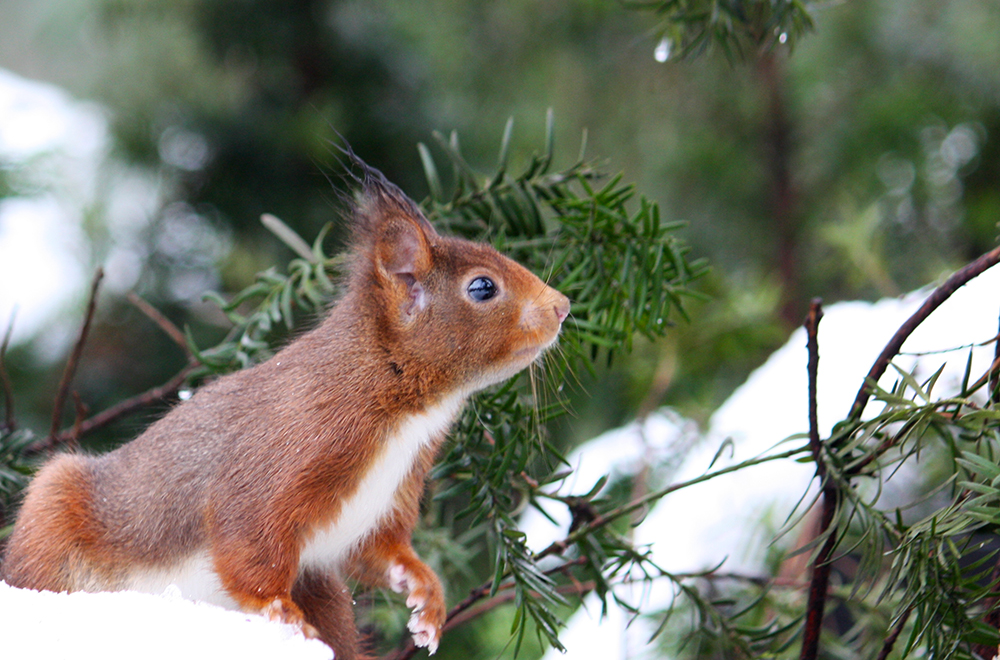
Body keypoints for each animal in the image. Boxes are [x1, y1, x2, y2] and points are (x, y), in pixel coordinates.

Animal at [1, 161, 572, 660]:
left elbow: (382, 553)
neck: (406, 413)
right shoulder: (287, 451)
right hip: (56, 526)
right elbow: (246, 541)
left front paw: (425, 598)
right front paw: (280, 612)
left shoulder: (381, 505)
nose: (564, 306)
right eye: (482, 287)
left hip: (325, 591)